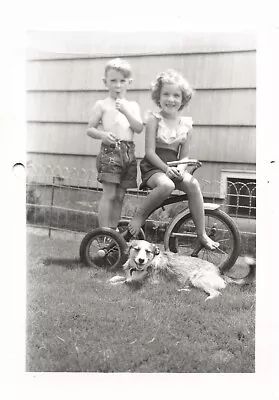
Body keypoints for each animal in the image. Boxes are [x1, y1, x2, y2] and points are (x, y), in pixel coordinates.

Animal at [110, 239, 256, 302]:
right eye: (136, 249)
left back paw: (207, 300)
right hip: (192, 282)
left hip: (197, 279)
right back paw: (181, 291)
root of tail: (220, 271)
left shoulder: (145, 284)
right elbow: (119, 278)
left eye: (148, 251)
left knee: (216, 293)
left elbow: (125, 283)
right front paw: (112, 279)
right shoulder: (130, 275)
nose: (141, 260)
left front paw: (112, 284)